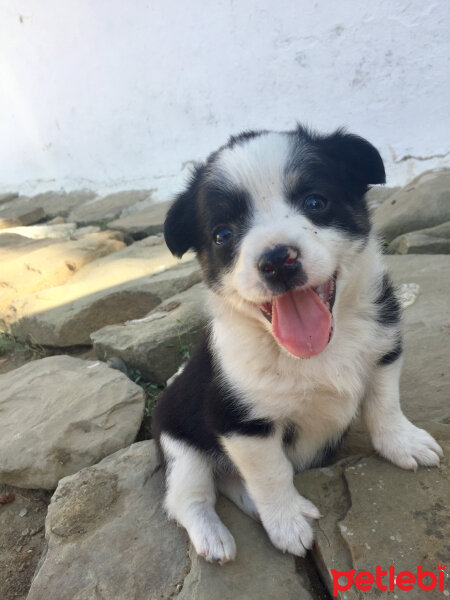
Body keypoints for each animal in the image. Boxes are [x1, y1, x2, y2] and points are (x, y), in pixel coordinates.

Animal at [152, 125, 442, 564]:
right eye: (223, 235)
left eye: (315, 202)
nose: (276, 260)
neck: (318, 349)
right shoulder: (239, 421)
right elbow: (271, 473)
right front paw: (288, 522)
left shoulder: (384, 348)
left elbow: (384, 403)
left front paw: (401, 443)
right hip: (178, 443)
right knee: (190, 497)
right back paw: (213, 537)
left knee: (231, 483)